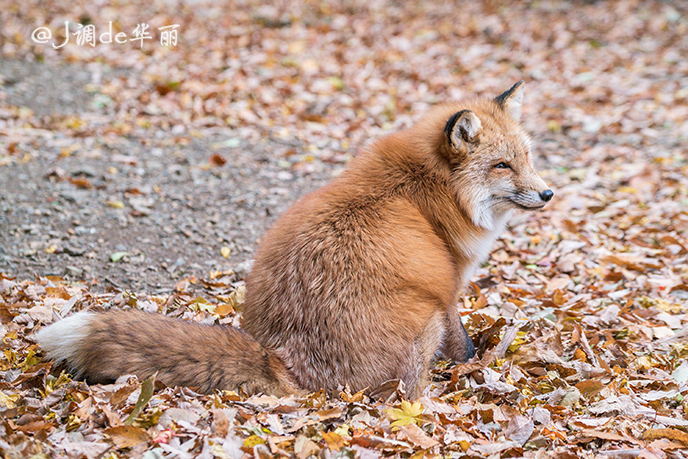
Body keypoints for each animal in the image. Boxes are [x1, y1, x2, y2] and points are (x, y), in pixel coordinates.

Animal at [36, 82, 552, 398]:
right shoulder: (446, 291)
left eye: (527, 158)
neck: (430, 186)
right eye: (502, 166)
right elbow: (463, 345)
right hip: (421, 322)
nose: (548, 193)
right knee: (405, 389)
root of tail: (285, 361)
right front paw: (474, 368)